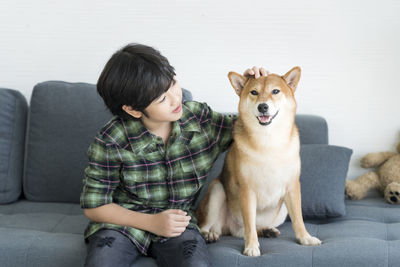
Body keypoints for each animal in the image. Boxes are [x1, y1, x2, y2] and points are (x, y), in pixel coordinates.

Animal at [197, 67, 322, 258]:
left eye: (275, 91)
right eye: (254, 92)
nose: (263, 106)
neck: (268, 142)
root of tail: (230, 228)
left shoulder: (292, 186)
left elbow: (298, 218)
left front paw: (305, 238)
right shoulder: (247, 190)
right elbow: (249, 224)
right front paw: (251, 247)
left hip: (282, 210)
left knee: (248, 229)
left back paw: (267, 230)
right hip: (217, 191)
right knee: (208, 226)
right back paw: (209, 234)